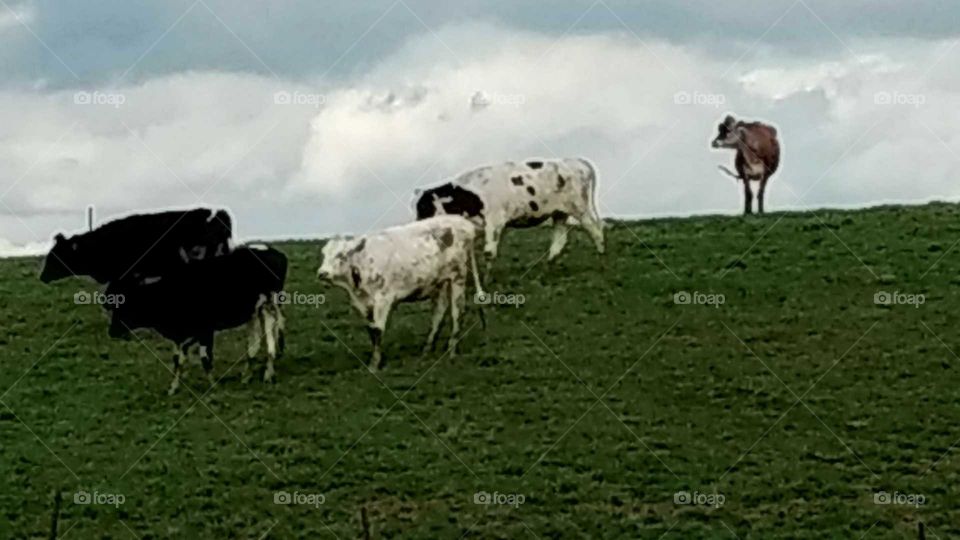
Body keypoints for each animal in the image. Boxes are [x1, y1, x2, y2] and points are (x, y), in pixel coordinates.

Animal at [105, 244, 287, 395]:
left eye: (122, 306)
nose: (112, 331)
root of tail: (274, 252)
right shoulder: (183, 335)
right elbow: (178, 359)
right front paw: (173, 387)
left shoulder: (206, 330)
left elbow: (205, 358)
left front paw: (213, 385)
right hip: (255, 313)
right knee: (255, 344)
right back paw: (248, 376)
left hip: (268, 307)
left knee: (270, 342)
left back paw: (267, 374)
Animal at [317, 215, 485, 372]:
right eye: (324, 255)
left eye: (341, 255)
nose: (322, 273)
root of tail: (463, 222)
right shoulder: (362, 304)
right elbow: (371, 329)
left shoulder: (383, 300)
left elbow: (378, 330)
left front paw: (375, 364)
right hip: (440, 281)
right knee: (439, 312)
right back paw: (427, 350)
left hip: (458, 277)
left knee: (457, 312)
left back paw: (451, 351)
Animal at [413, 158, 604, 266]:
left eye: (423, 208)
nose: (416, 225)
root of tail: (576, 162)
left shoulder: (495, 222)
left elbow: (489, 253)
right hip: (559, 212)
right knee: (560, 238)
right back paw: (549, 265)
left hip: (580, 208)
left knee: (595, 229)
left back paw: (600, 257)